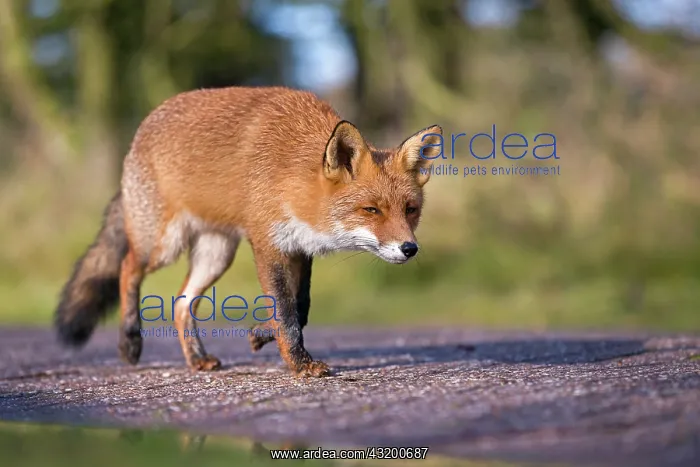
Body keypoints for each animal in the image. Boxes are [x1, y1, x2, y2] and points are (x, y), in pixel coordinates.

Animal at [54, 86, 442, 377]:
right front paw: (300, 364)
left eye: (411, 210)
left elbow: (300, 308)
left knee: (180, 302)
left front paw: (259, 335)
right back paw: (130, 341)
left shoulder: (299, 248)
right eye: (371, 210)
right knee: (127, 269)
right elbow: (286, 311)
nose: (409, 248)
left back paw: (196, 358)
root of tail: (143, 127)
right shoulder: (267, 243)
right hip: (164, 244)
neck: (291, 171)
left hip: (216, 255)